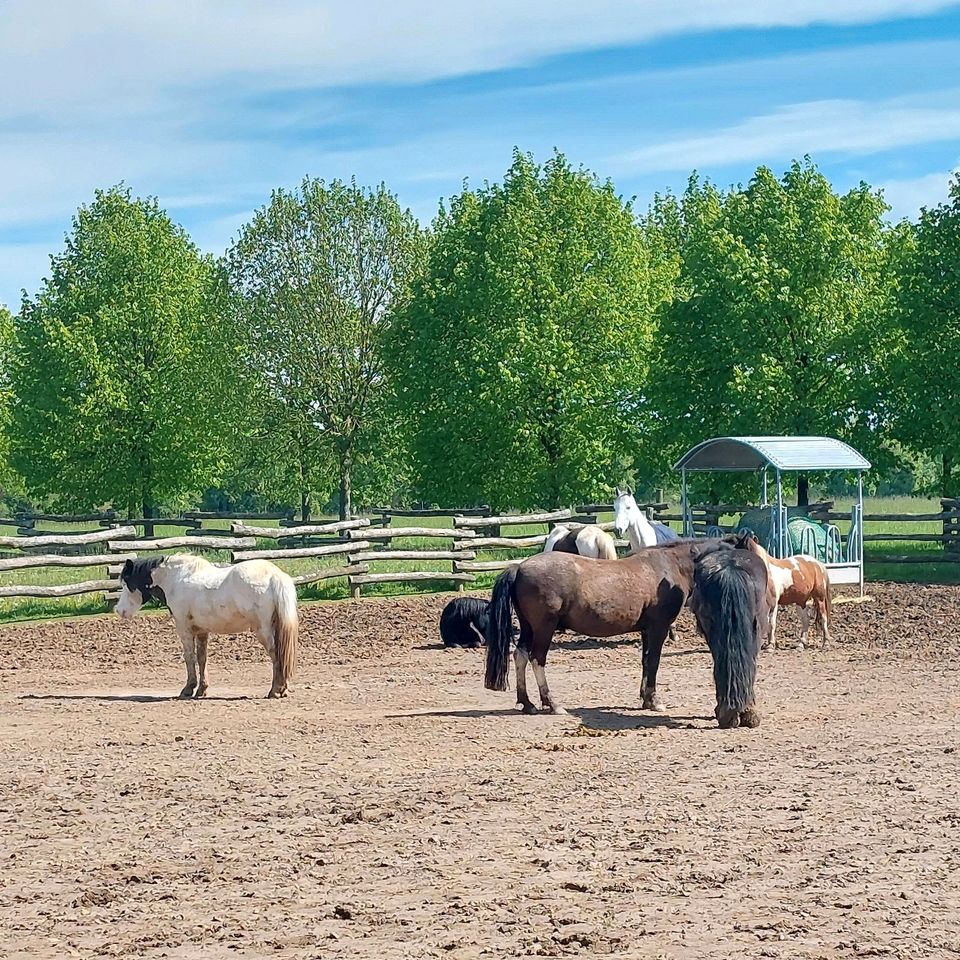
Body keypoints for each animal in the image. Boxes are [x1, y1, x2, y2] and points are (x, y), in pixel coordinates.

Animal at [116, 556, 298, 696]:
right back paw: (283, 689)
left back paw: (275, 690)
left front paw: (188, 689)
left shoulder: (184, 629)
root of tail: (274, 576)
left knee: (276, 655)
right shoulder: (202, 631)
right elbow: (201, 658)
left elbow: (189, 657)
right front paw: (201, 690)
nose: (119, 610)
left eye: (127, 584)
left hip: (263, 630)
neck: (176, 579)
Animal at [484, 540, 724, 712]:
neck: (669, 567)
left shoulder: (647, 630)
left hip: (528, 628)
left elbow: (646, 662)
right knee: (536, 659)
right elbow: (654, 662)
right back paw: (551, 703)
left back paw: (527, 703)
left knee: (521, 656)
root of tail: (519, 568)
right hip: (544, 628)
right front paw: (654, 701)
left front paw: (645, 699)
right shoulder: (659, 628)